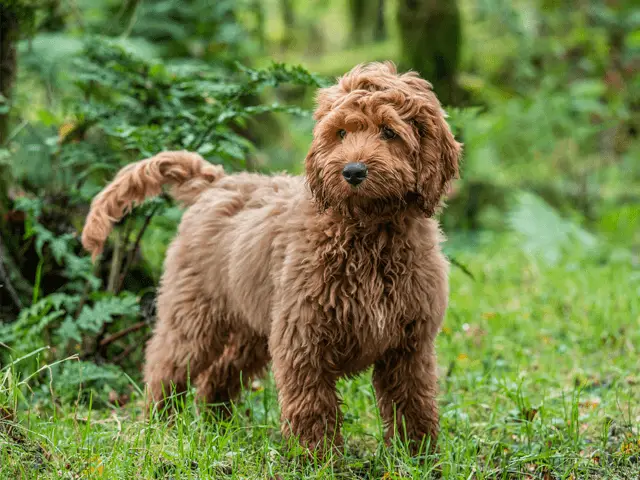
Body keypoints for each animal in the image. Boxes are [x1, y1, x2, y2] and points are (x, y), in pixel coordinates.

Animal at [81, 62, 460, 452]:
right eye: (340, 133)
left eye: (388, 131)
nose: (353, 171)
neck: (367, 232)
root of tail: (217, 182)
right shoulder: (302, 336)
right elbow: (312, 405)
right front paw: (317, 457)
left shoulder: (409, 346)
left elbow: (413, 401)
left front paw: (417, 453)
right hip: (193, 314)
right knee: (166, 364)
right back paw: (160, 425)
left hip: (250, 325)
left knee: (218, 374)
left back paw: (218, 426)